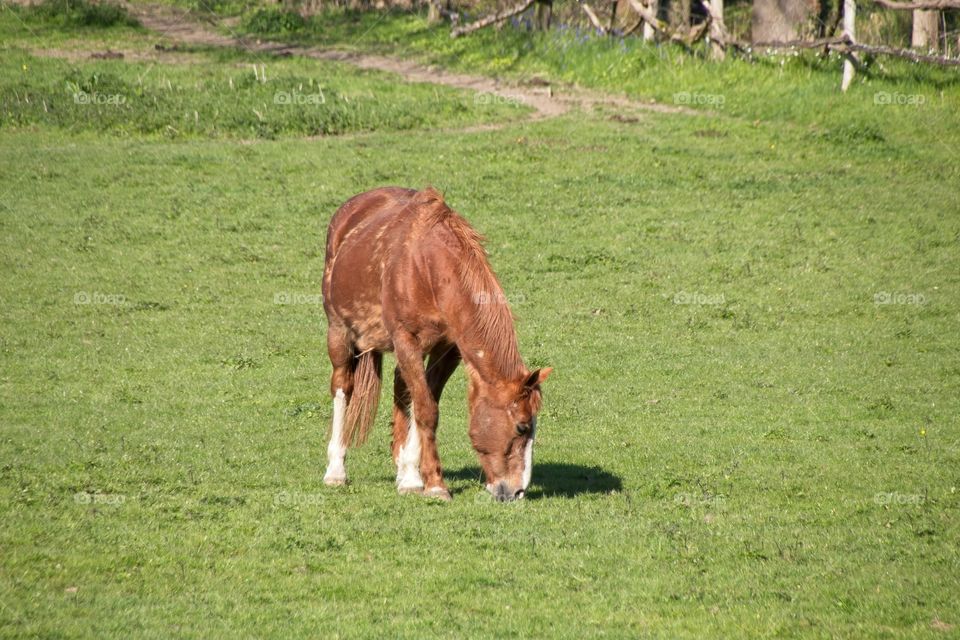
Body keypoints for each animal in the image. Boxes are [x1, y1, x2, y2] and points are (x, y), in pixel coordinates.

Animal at [320, 187, 552, 502]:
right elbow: (427, 410)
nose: (516, 492)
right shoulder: (406, 339)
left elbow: (426, 400)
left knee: (401, 386)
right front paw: (435, 485)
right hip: (339, 332)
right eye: (522, 426)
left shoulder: (449, 349)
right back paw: (336, 471)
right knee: (342, 387)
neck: (427, 268)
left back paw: (403, 469)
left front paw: (414, 476)